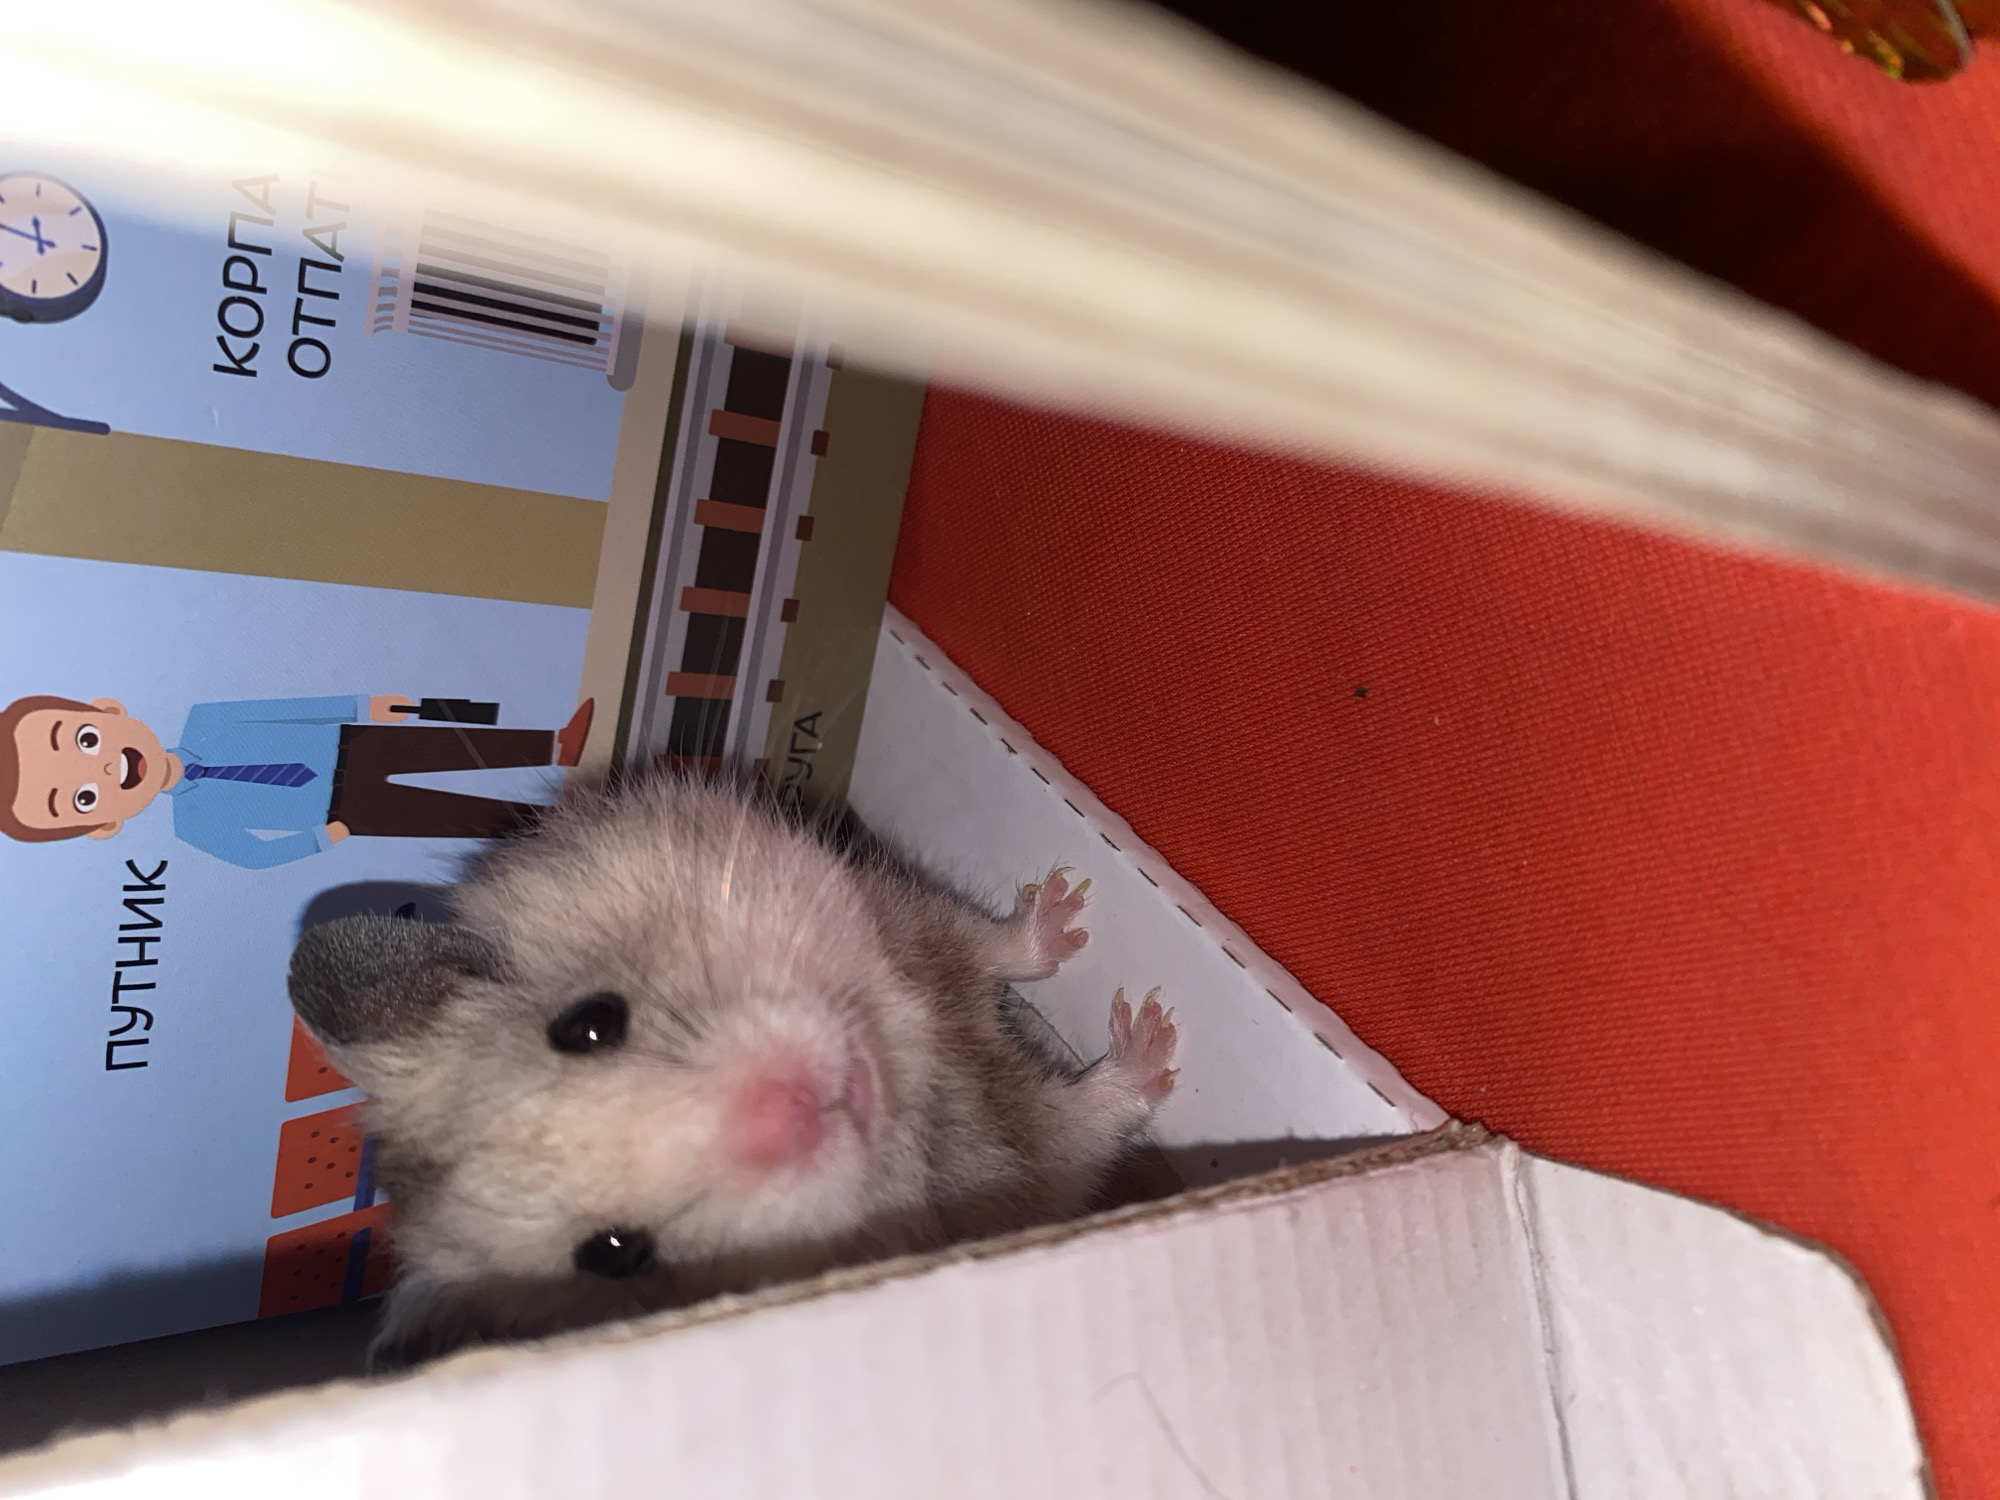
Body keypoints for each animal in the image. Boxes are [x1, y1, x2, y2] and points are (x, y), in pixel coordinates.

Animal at [286, 773, 1180, 1368]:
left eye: (590, 1023)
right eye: (617, 1253)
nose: (800, 1104)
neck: (913, 1084)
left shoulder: (891, 916)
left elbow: (985, 943)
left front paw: (1086, 934)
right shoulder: (1033, 1174)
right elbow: (1083, 1122)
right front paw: (1161, 1046)